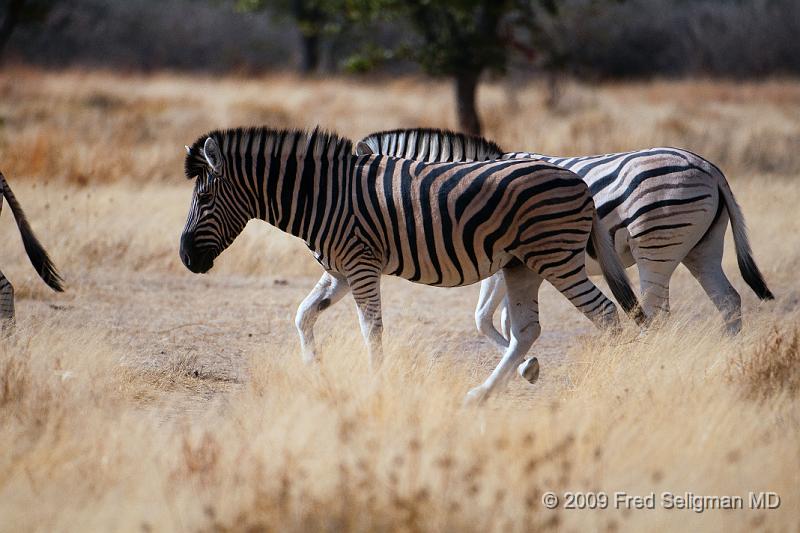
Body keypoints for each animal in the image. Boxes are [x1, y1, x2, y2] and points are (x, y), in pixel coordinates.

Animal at [180, 127, 644, 402]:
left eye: (204, 198)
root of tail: (579, 182)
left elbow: (372, 329)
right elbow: (303, 314)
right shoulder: (340, 271)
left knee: (606, 314)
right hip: (522, 266)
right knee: (528, 330)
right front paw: (315, 369)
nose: (186, 258)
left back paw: (609, 384)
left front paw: (375, 384)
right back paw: (482, 393)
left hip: (557, 260)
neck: (323, 196)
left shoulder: (360, 264)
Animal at [358, 128, 776, 336]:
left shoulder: (498, 257)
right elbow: (493, 318)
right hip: (701, 248)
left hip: (656, 243)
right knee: (728, 301)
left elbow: (492, 318)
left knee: (657, 311)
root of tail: (707, 166)